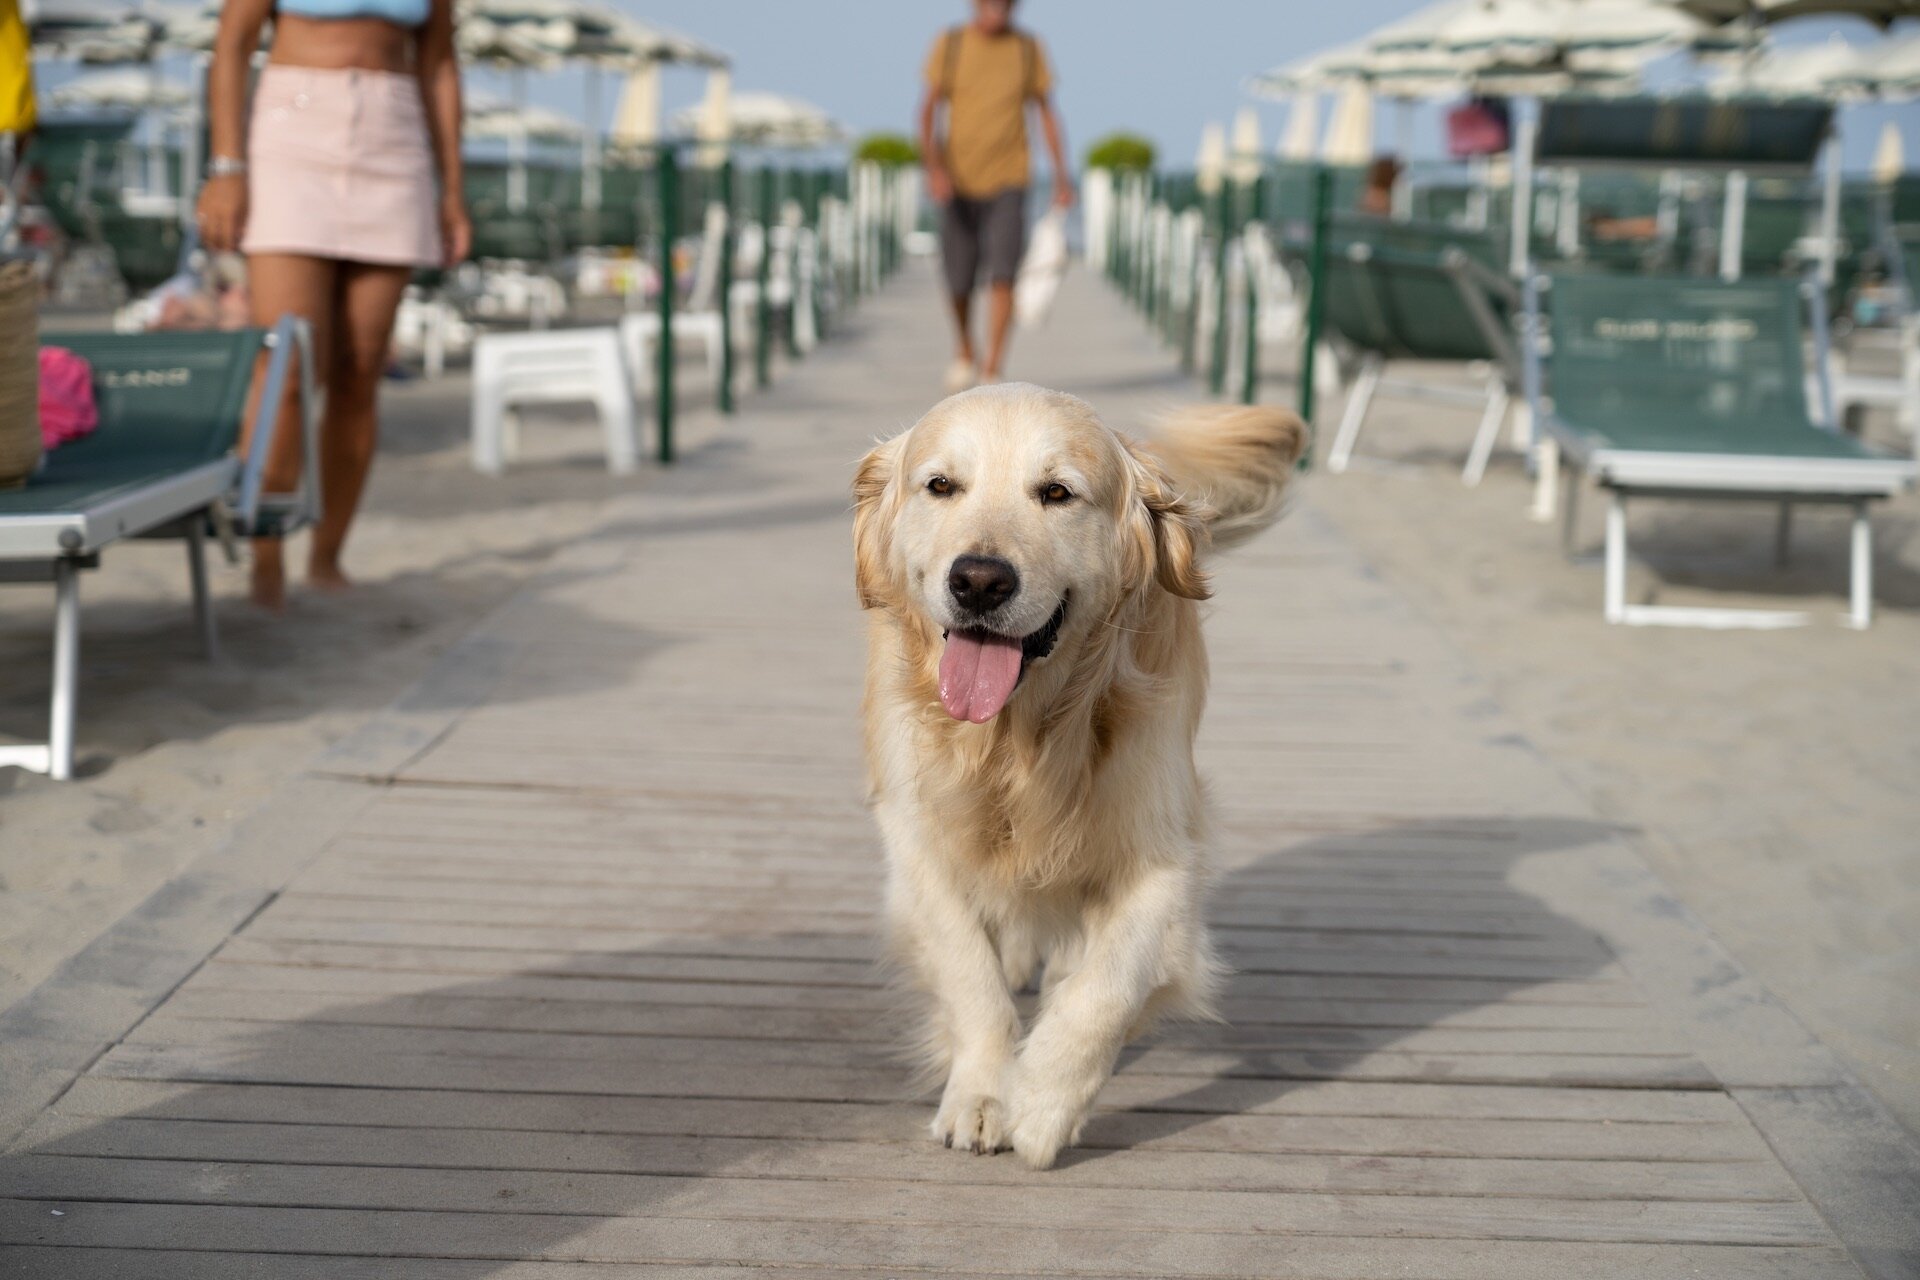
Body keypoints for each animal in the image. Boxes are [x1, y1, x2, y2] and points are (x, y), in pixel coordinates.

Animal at [856, 383, 1305, 1174]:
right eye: (940, 485)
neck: (1019, 741)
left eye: (1057, 493)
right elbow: (969, 972)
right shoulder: (917, 839)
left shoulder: (1163, 849)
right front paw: (983, 1092)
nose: (979, 580)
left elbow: (1109, 983)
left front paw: (1043, 1101)